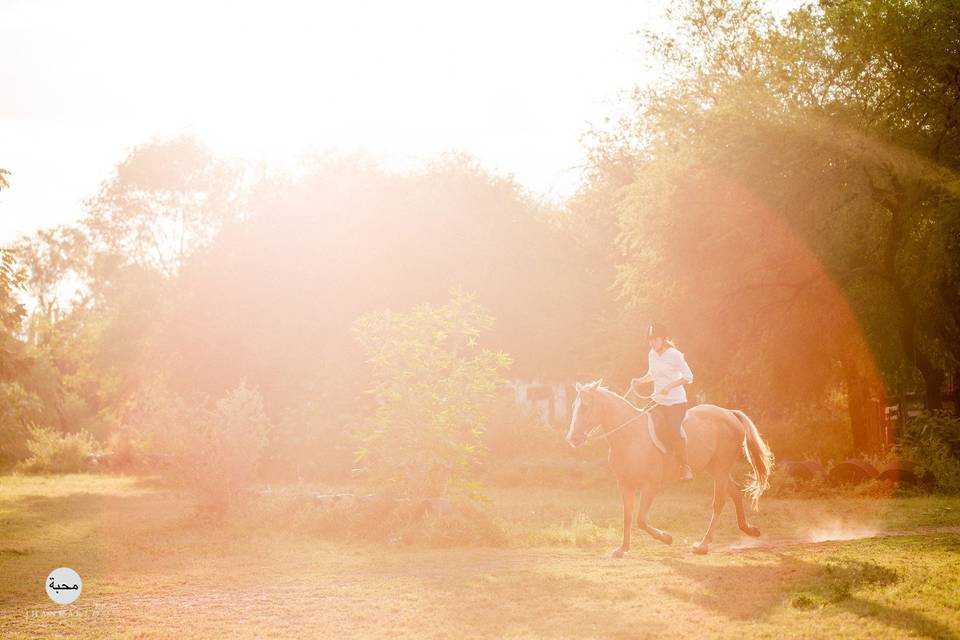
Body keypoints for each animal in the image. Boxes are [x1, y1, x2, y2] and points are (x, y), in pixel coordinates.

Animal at [568, 380, 776, 556]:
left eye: (585, 406)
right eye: (575, 407)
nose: (572, 438)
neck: (631, 436)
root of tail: (729, 413)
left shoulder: (650, 485)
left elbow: (641, 520)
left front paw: (666, 538)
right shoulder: (625, 484)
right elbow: (628, 516)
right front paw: (622, 549)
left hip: (721, 469)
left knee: (719, 502)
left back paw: (703, 545)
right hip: (714, 468)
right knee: (735, 492)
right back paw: (750, 529)